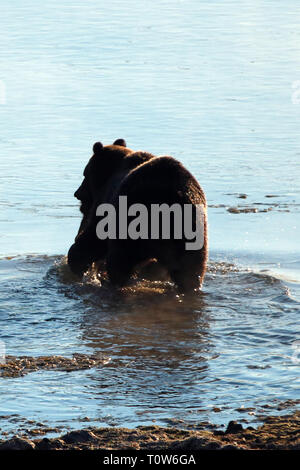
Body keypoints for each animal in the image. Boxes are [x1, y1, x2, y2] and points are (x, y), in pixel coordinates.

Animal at [68, 140, 207, 292]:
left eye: (84, 173)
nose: (77, 193)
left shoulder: (106, 202)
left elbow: (93, 237)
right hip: (190, 233)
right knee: (191, 271)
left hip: (130, 223)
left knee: (119, 261)